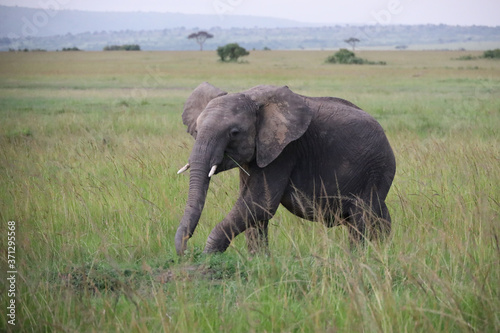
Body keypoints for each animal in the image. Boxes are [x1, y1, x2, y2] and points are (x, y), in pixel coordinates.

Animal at [175, 82, 394, 254]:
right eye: (196, 130)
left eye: (234, 133)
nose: (185, 252)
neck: (251, 96)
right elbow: (254, 207)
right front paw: (259, 260)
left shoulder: (285, 151)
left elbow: (259, 204)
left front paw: (208, 255)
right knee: (379, 216)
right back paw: (384, 250)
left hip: (377, 169)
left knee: (361, 219)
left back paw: (357, 258)